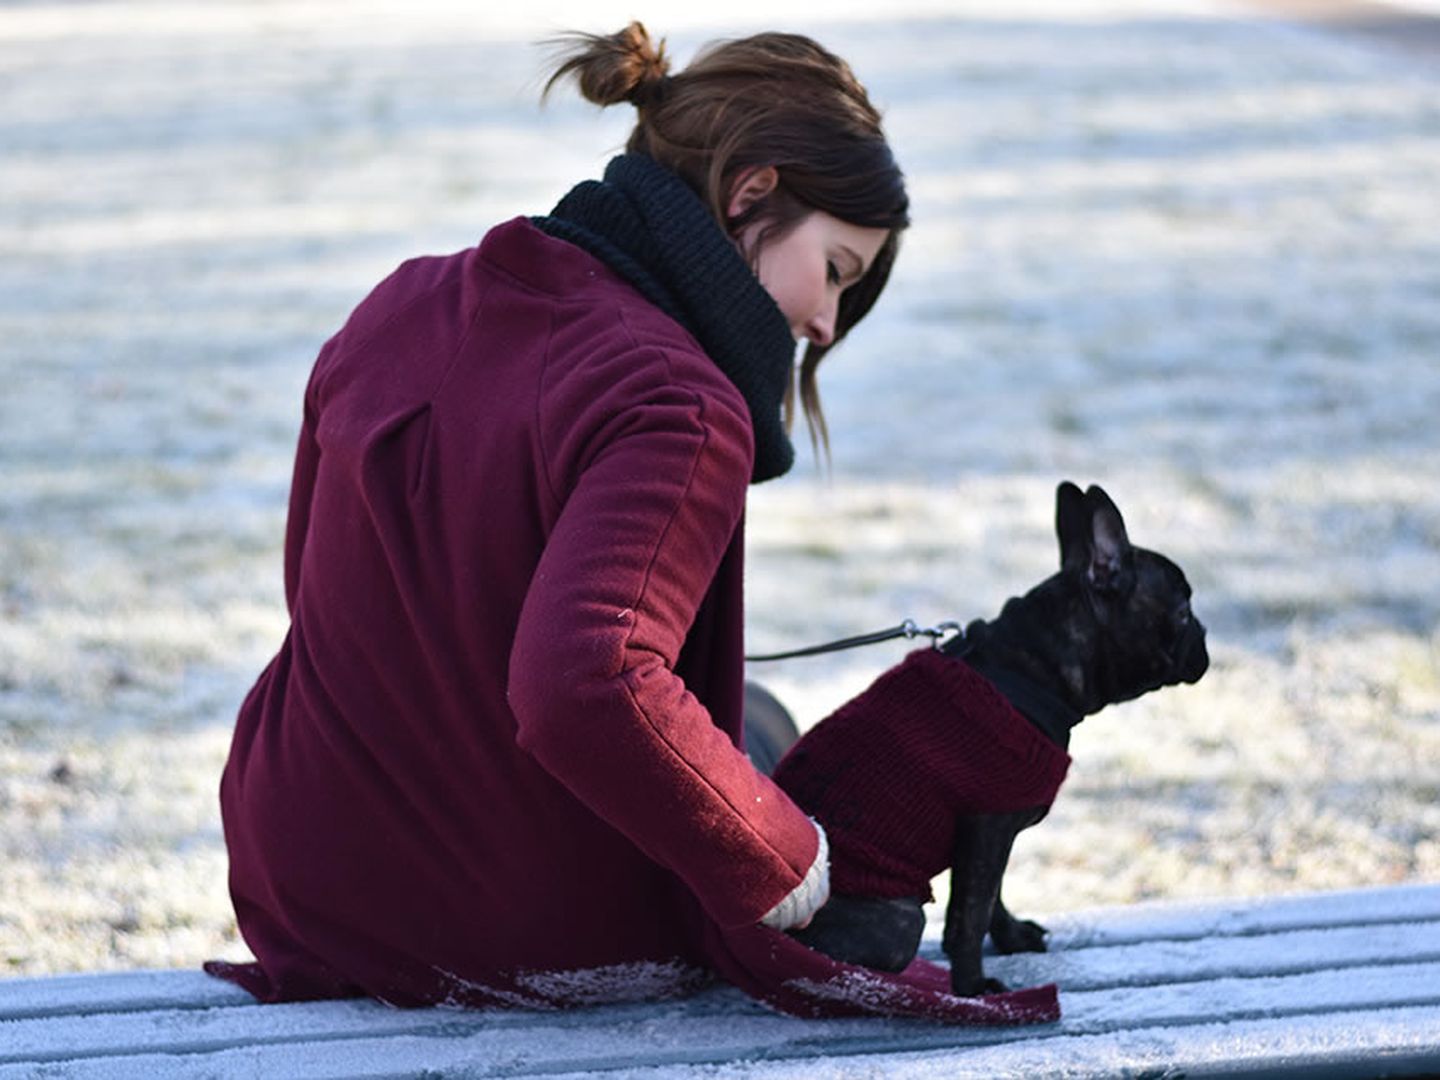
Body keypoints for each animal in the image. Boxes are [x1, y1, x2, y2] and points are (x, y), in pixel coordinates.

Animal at [771, 480, 1209, 996]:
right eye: (1183, 613)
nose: (1204, 636)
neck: (1030, 670)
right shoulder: (986, 826)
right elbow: (971, 914)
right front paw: (973, 985)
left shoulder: (991, 836)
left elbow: (994, 895)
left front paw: (1012, 937)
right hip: (900, 920)